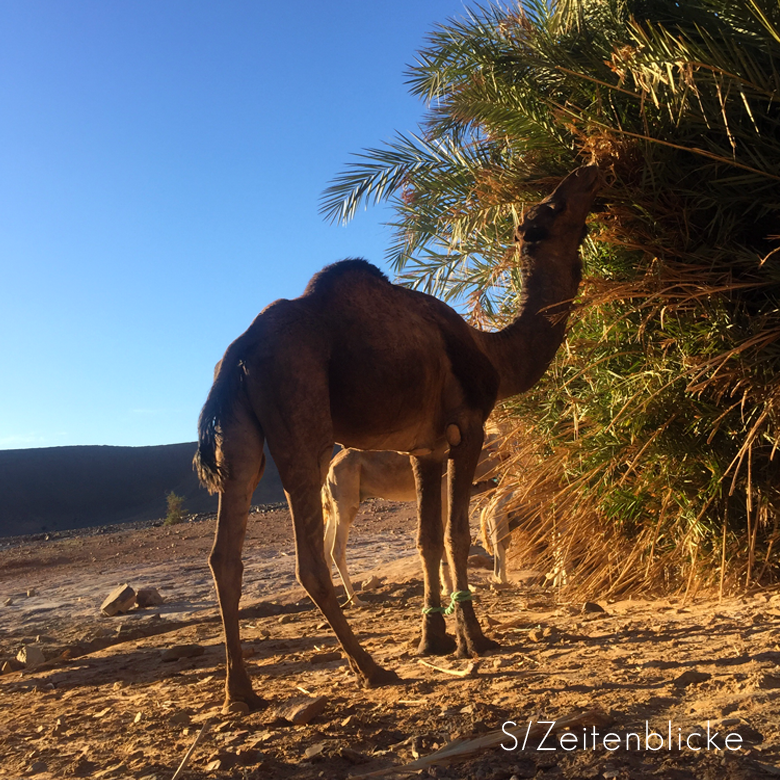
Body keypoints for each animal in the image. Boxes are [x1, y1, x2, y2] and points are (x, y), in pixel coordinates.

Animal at [193, 166, 596, 712]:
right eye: (554, 208)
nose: (589, 173)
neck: (493, 353)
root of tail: (240, 350)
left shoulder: (425, 450)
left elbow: (426, 540)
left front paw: (433, 639)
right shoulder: (467, 428)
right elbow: (455, 535)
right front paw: (475, 639)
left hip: (237, 436)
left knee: (225, 555)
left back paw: (241, 692)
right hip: (303, 422)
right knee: (311, 559)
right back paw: (369, 669)